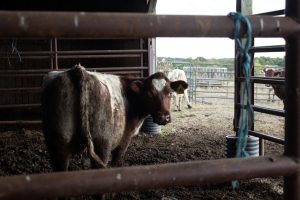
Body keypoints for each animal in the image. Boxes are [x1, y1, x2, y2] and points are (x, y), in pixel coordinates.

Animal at [41, 65, 188, 171]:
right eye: (150, 93)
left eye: (170, 93)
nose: (164, 117)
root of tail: (77, 71)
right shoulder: (124, 139)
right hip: (102, 143)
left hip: (58, 144)